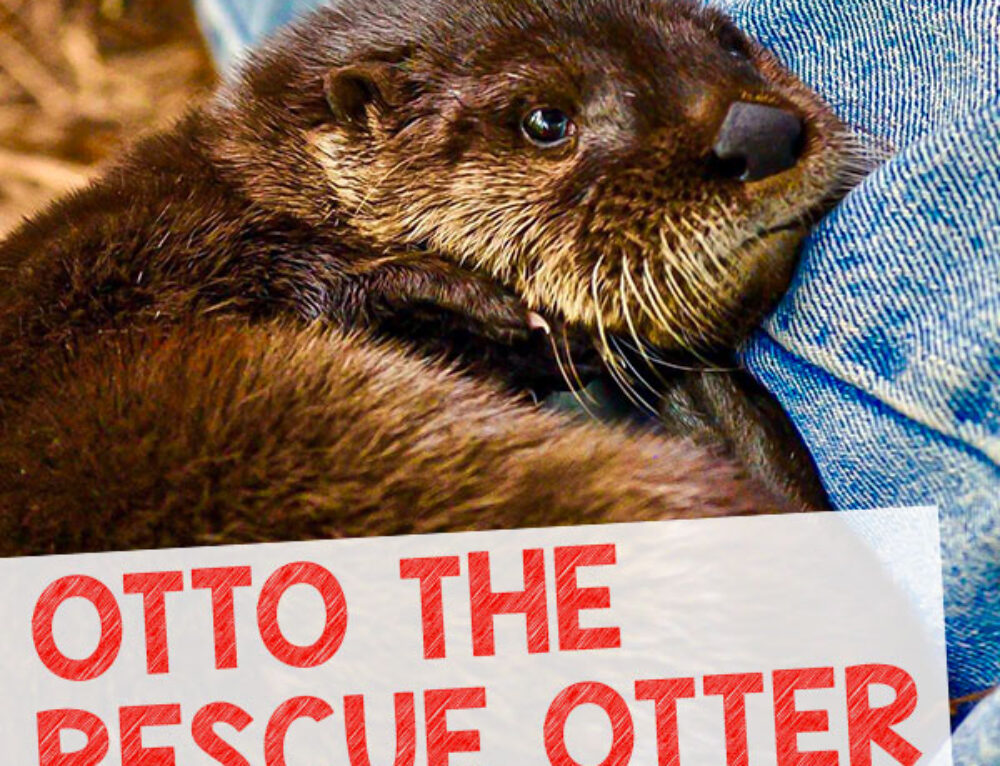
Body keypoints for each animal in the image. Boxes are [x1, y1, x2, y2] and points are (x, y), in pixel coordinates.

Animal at [0, 0, 858, 554]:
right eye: (546, 121)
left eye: (732, 43)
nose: (760, 131)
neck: (242, 184)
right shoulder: (119, 254)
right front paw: (446, 299)